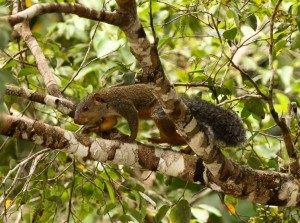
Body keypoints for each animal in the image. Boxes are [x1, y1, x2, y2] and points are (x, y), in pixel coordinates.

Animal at [73, 83, 246, 146]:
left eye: (86, 108)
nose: (76, 120)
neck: (107, 103)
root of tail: (183, 102)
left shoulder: (124, 105)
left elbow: (133, 119)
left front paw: (130, 139)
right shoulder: (111, 115)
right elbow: (110, 123)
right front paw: (92, 129)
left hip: (159, 111)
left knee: (175, 137)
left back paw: (167, 140)